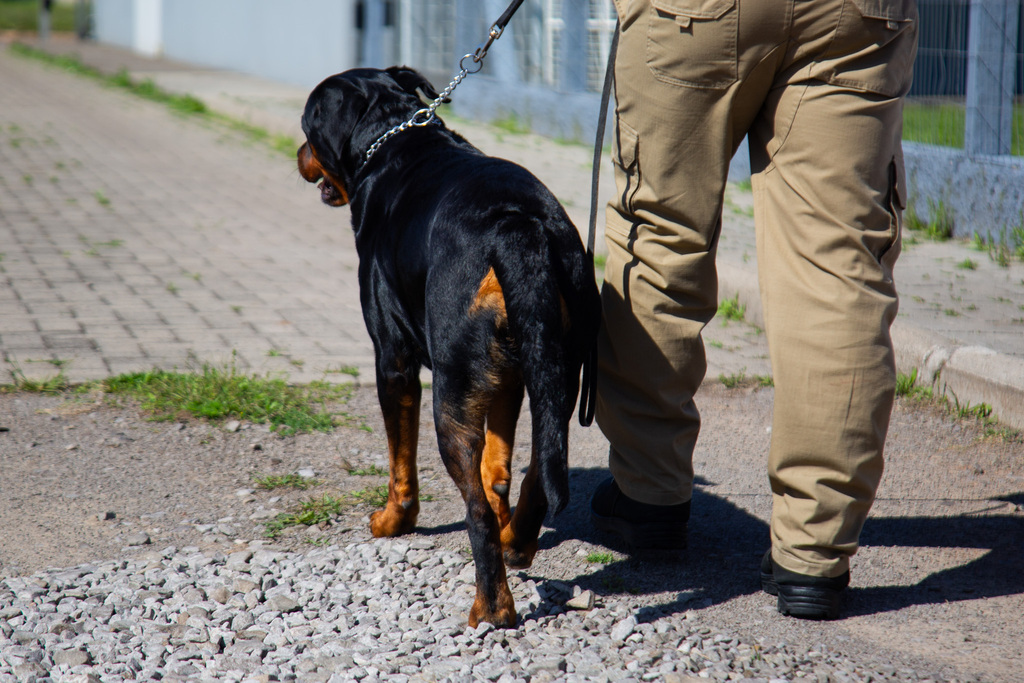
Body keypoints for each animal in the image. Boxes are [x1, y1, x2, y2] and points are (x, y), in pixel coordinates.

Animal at [296, 66, 598, 626]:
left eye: (307, 125)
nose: (299, 153)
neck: (393, 136)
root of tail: (516, 226)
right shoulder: (507, 381)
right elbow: (497, 467)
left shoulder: (392, 360)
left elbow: (401, 460)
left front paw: (393, 521)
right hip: (558, 370)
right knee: (534, 475)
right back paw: (515, 542)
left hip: (451, 393)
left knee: (473, 510)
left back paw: (492, 607)